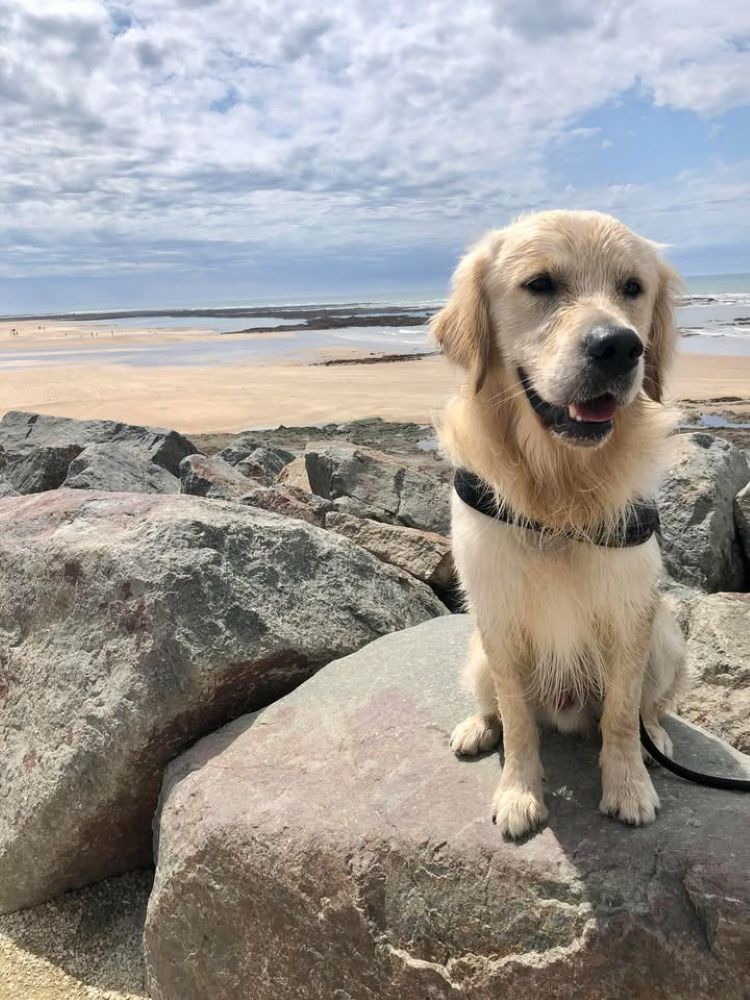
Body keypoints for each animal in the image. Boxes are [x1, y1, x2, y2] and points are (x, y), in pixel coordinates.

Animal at [433, 210, 688, 839]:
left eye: (632, 288)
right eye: (540, 284)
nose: (619, 346)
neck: (559, 483)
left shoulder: (630, 607)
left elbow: (621, 713)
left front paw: (628, 786)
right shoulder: (496, 611)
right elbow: (518, 718)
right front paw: (519, 792)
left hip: (667, 637)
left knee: (647, 708)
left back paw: (656, 740)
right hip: (476, 651)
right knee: (496, 706)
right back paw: (477, 728)